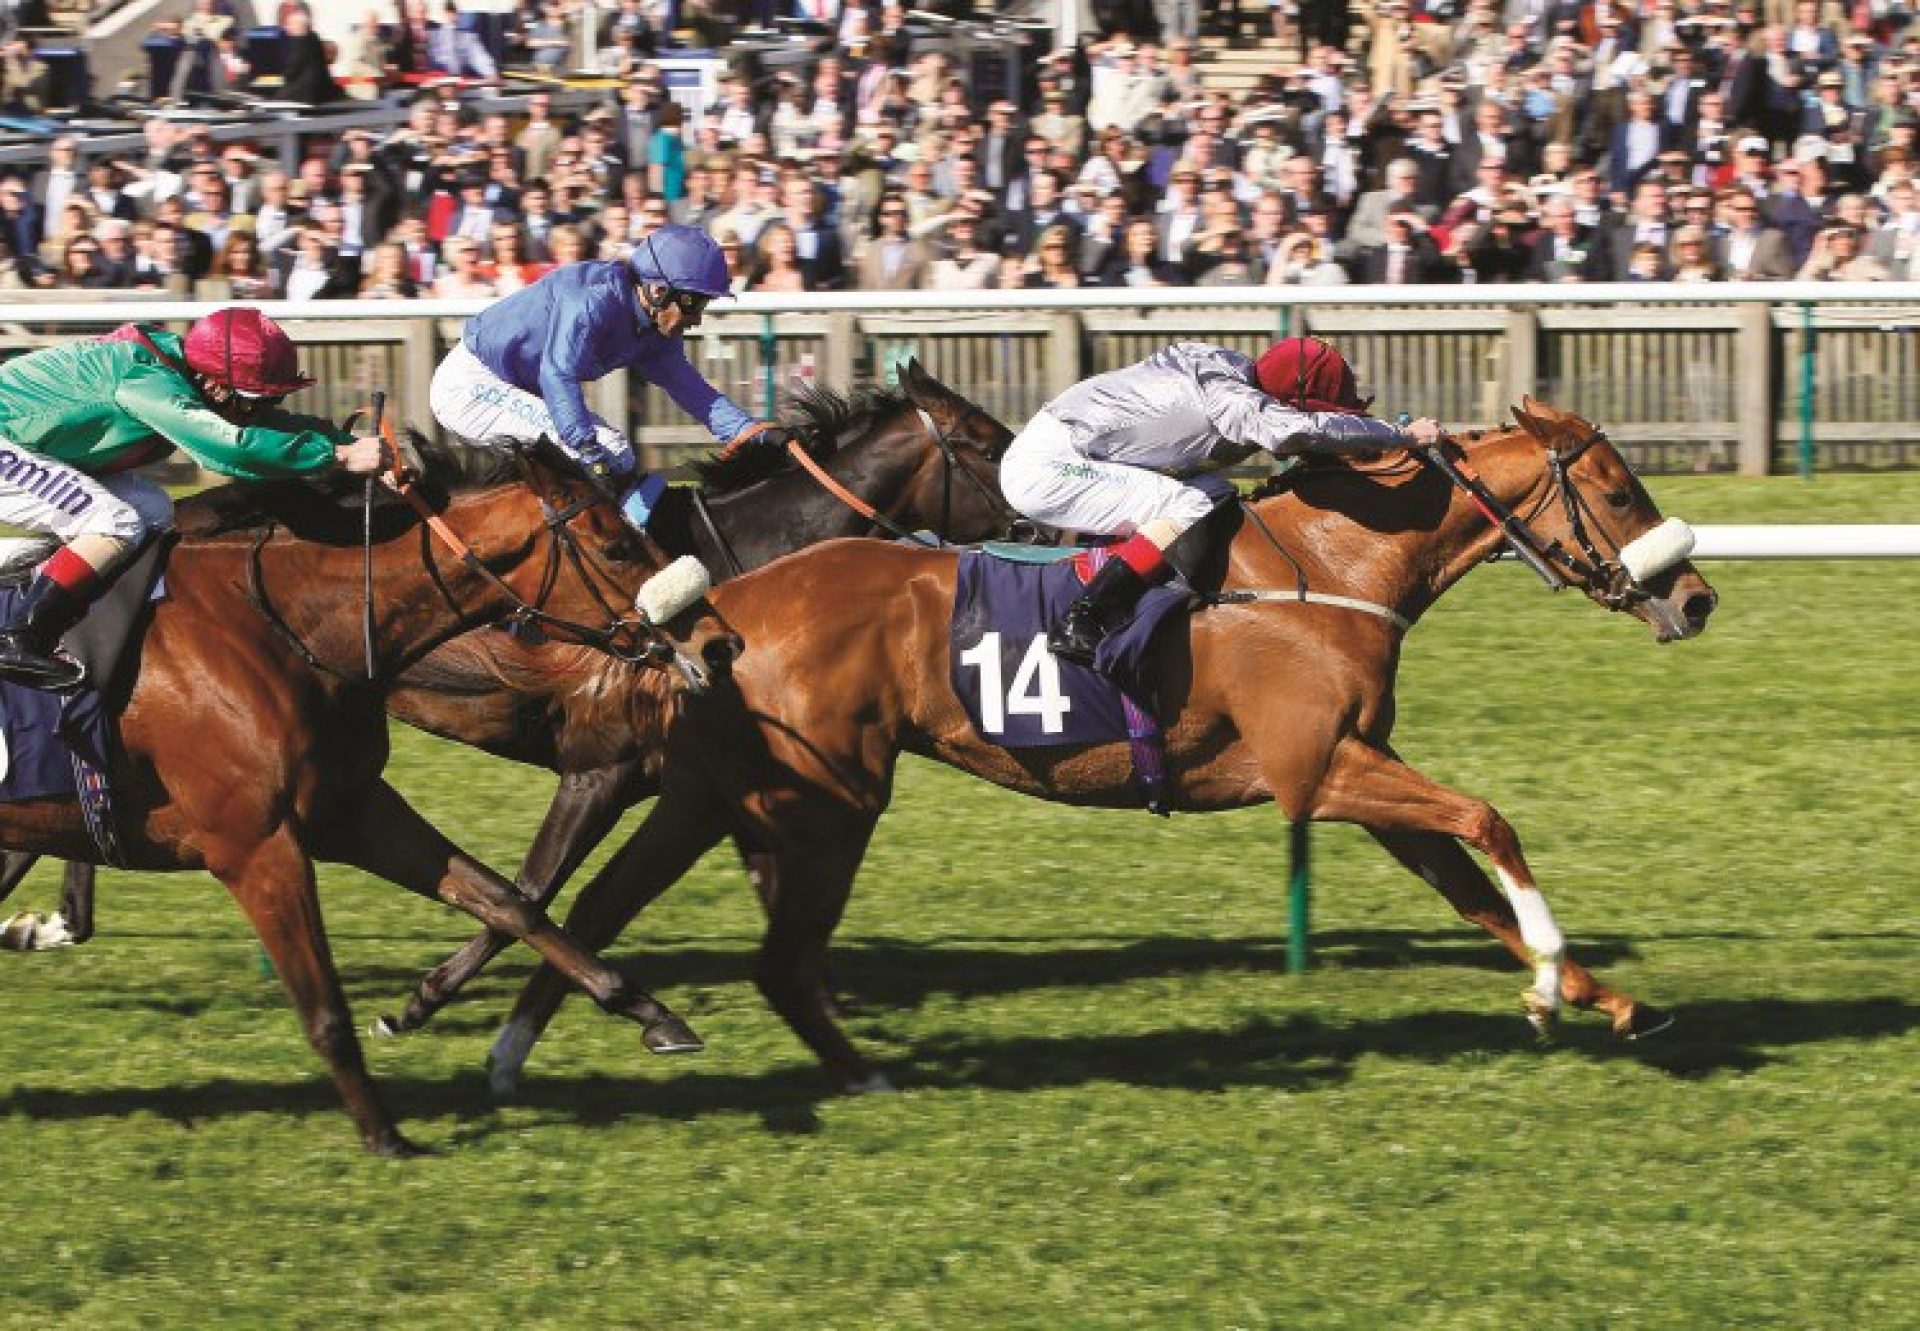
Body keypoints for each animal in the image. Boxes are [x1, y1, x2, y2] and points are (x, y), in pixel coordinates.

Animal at [0, 443, 733, 1152]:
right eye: (616, 547)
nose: (718, 642)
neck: (293, 628)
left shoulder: (352, 811)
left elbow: (510, 901)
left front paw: (653, 1013)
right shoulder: (256, 847)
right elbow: (325, 1007)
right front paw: (386, 1134)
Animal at [487, 399, 1720, 1098]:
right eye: (1619, 489)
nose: (1698, 598)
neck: (1328, 563)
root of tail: (721, 598)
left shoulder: (1353, 771)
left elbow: (1469, 887)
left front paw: (1602, 997)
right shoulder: (1318, 774)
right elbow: (1487, 820)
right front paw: (1554, 988)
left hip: (712, 790)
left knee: (595, 902)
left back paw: (518, 1049)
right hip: (828, 798)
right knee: (776, 957)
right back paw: (859, 1074)